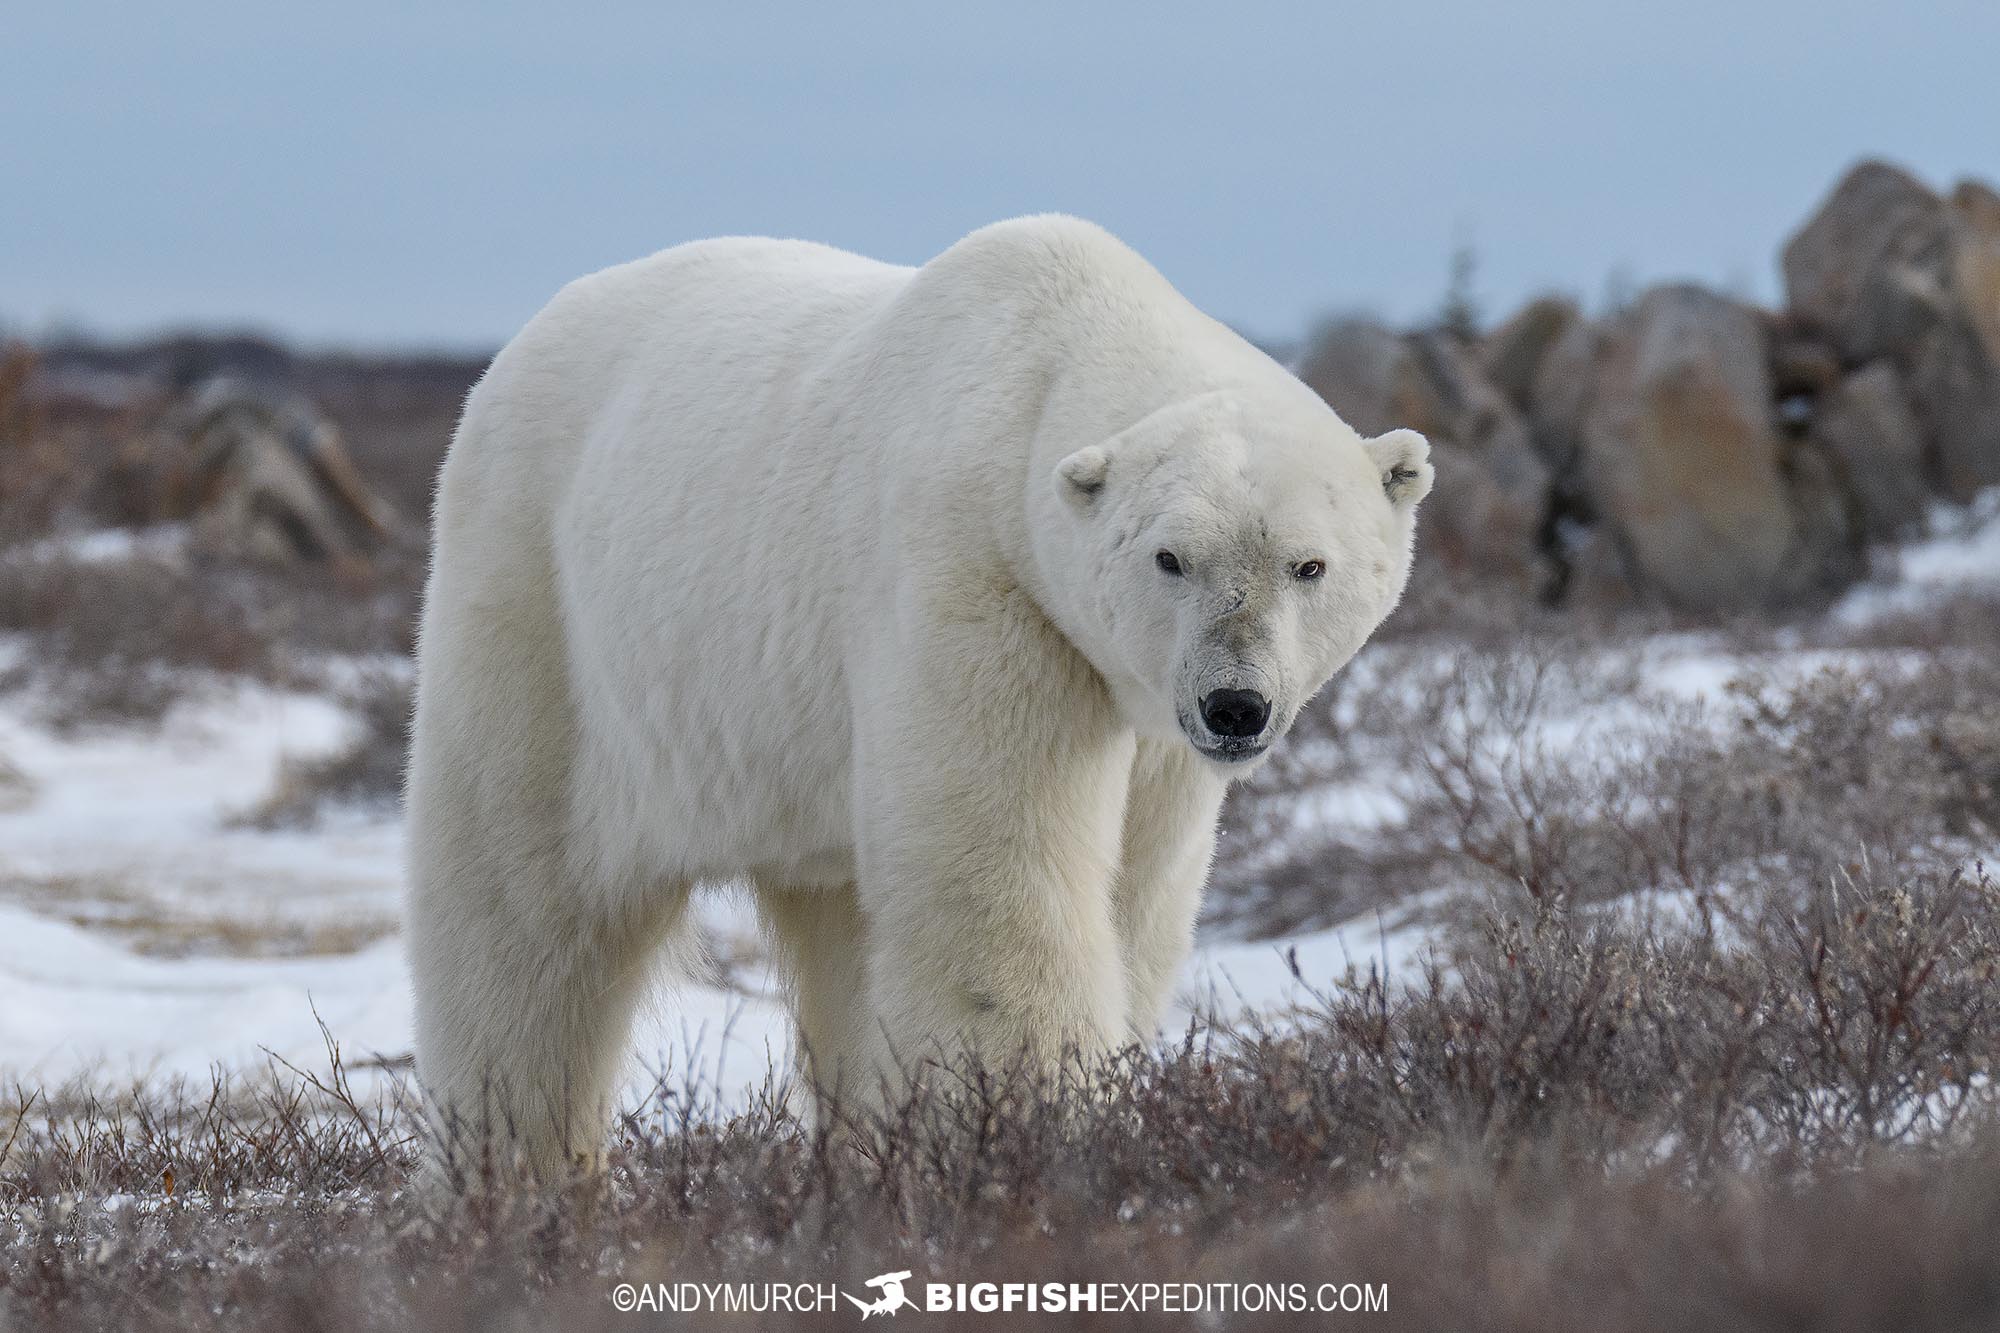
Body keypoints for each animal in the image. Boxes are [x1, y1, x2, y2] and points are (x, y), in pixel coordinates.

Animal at [402, 215, 1424, 1176]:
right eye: (1170, 558)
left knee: (843, 931)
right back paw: (509, 1176)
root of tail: (508, 360)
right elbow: (999, 878)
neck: (1046, 358)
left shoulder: (1147, 715)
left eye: (1308, 565)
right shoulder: (978, 582)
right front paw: (1035, 1130)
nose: (1235, 707)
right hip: (543, 609)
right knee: (520, 916)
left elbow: (1138, 890)